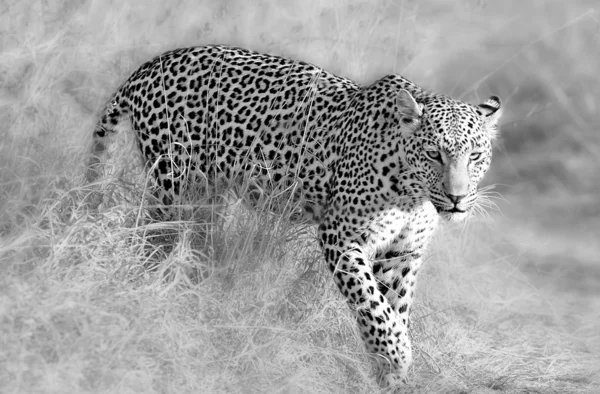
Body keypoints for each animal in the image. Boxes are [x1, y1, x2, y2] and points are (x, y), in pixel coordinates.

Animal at [88, 44, 502, 386]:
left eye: (475, 156)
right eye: (434, 154)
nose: (457, 198)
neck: (413, 195)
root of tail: (152, 64)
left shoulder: (403, 254)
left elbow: (395, 307)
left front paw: (391, 373)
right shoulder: (342, 236)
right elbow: (372, 303)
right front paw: (397, 353)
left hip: (206, 194)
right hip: (174, 181)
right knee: (151, 235)